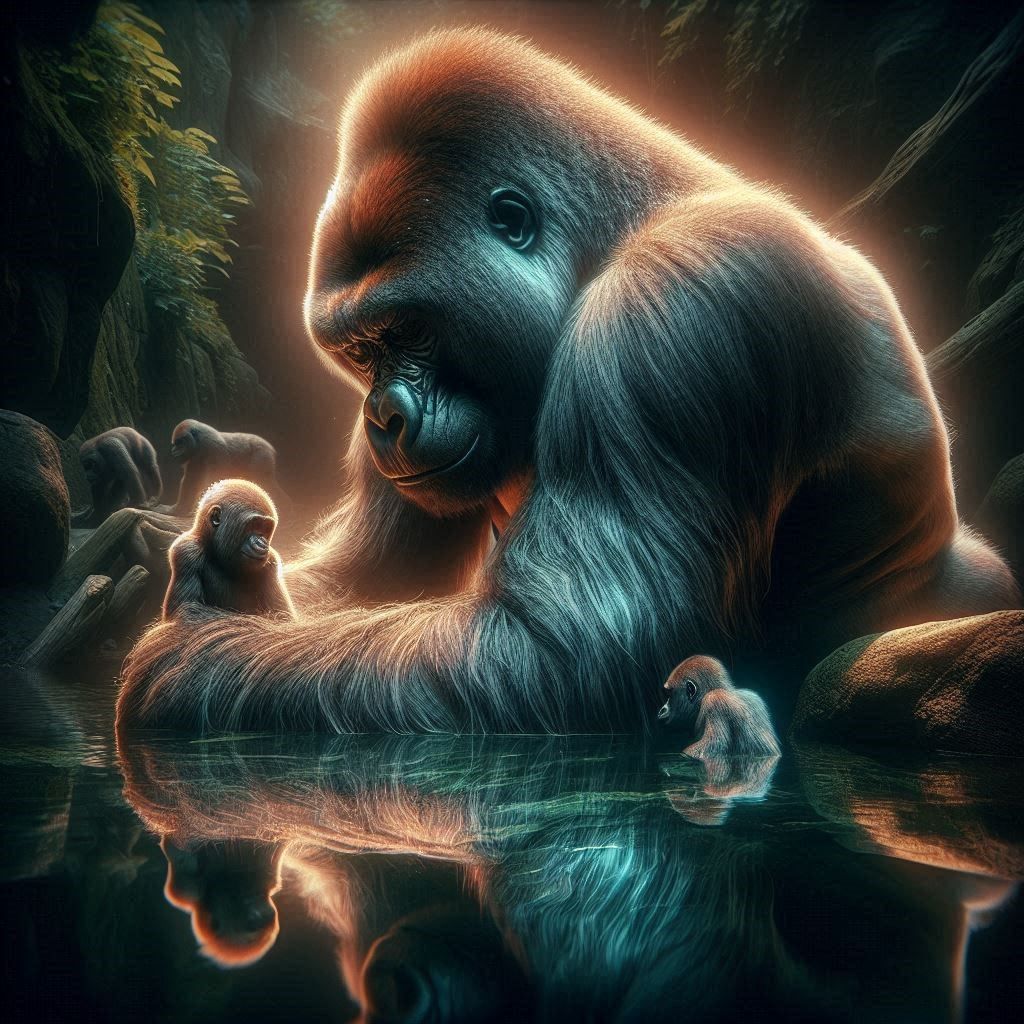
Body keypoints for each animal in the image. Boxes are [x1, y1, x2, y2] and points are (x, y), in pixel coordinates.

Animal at [162, 479, 294, 619]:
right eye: (253, 525)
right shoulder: (186, 551)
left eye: (265, 529)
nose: (262, 543)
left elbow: (284, 615)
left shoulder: (272, 561)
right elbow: (187, 612)